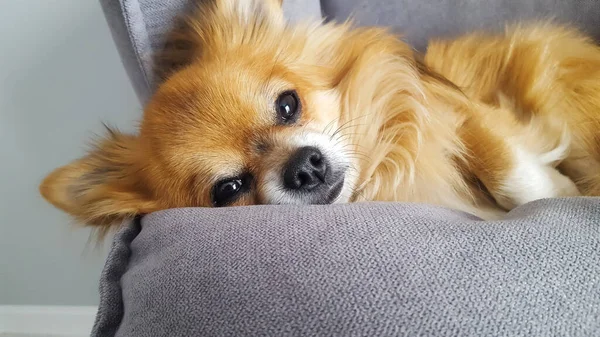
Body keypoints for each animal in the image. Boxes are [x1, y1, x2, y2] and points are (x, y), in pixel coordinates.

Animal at [38, 0, 600, 228]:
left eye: (288, 105)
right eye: (229, 189)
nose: (304, 167)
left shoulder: (463, 105)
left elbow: (507, 165)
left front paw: (557, 192)